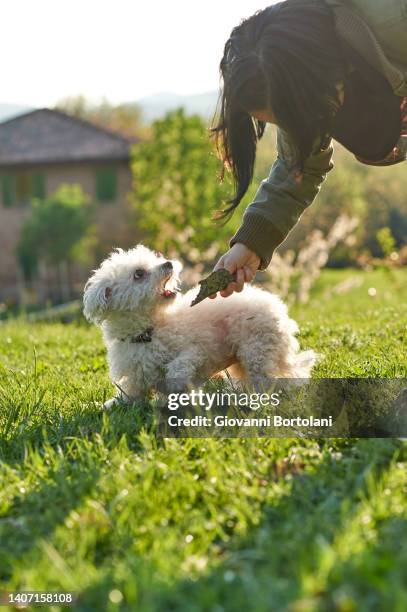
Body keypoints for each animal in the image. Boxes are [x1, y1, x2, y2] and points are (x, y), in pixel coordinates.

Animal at [83, 244, 318, 406]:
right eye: (138, 274)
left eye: (154, 259)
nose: (168, 263)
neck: (149, 331)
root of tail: (278, 310)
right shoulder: (136, 375)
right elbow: (131, 393)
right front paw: (112, 404)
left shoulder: (195, 351)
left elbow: (179, 366)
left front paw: (178, 391)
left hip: (257, 351)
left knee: (271, 381)